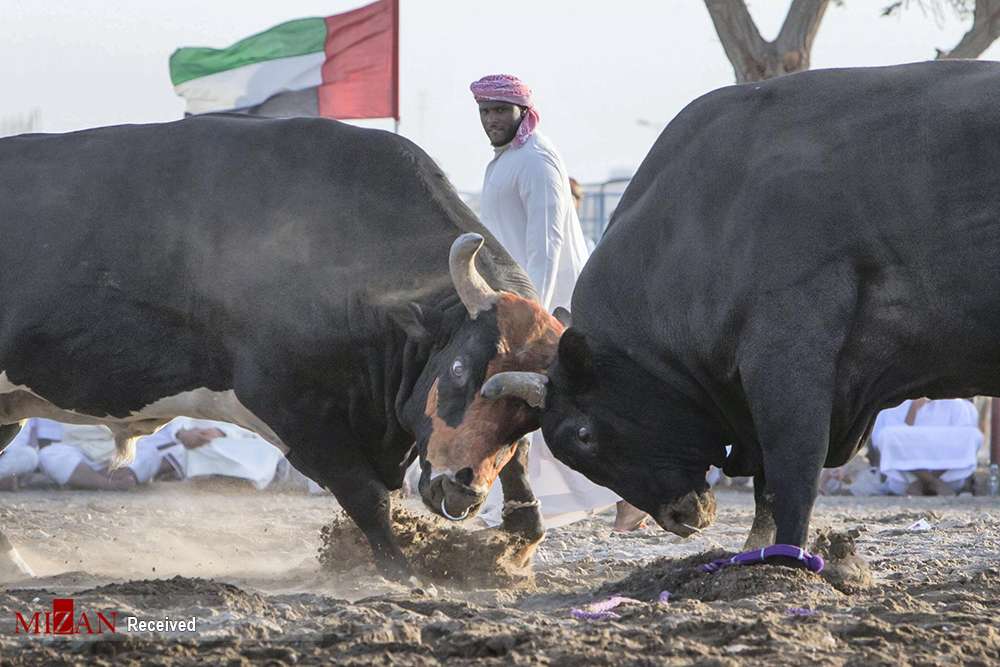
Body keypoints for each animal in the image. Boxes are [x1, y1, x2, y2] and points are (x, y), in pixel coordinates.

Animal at [0, 115, 564, 580]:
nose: (461, 489)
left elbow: (515, 459)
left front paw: (523, 534)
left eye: (529, 415)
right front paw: (402, 573)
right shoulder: (292, 409)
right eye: (459, 368)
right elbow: (366, 496)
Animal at [484, 61, 1000, 564]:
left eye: (583, 435)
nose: (678, 517)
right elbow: (766, 488)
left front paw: (787, 563)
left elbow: (791, 473)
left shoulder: (789, 362)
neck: (703, 221)